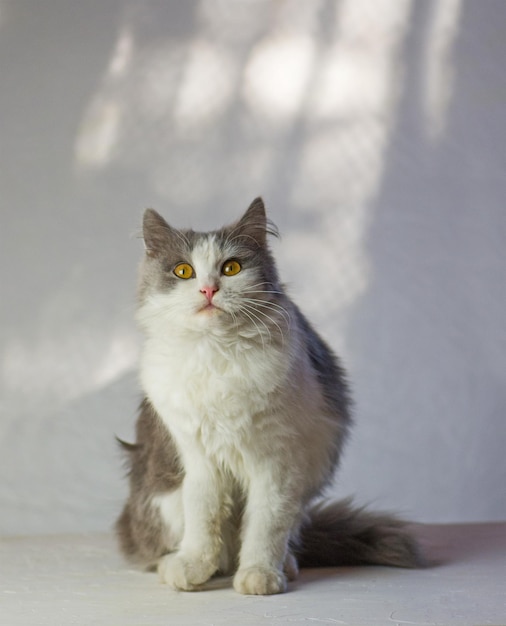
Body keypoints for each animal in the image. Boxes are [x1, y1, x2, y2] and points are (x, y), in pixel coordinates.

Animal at [116, 197, 422, 592]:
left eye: (231, 268)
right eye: (183, 271)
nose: (208, 290)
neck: (218, 352)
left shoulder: (279, 461)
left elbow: (265, 526)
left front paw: (259, 575)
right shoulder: (200, 459)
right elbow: (203, 521)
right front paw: (194, 568)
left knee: (284, 536)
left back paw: (282, 566)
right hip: (162, 501)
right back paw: (184, 564)